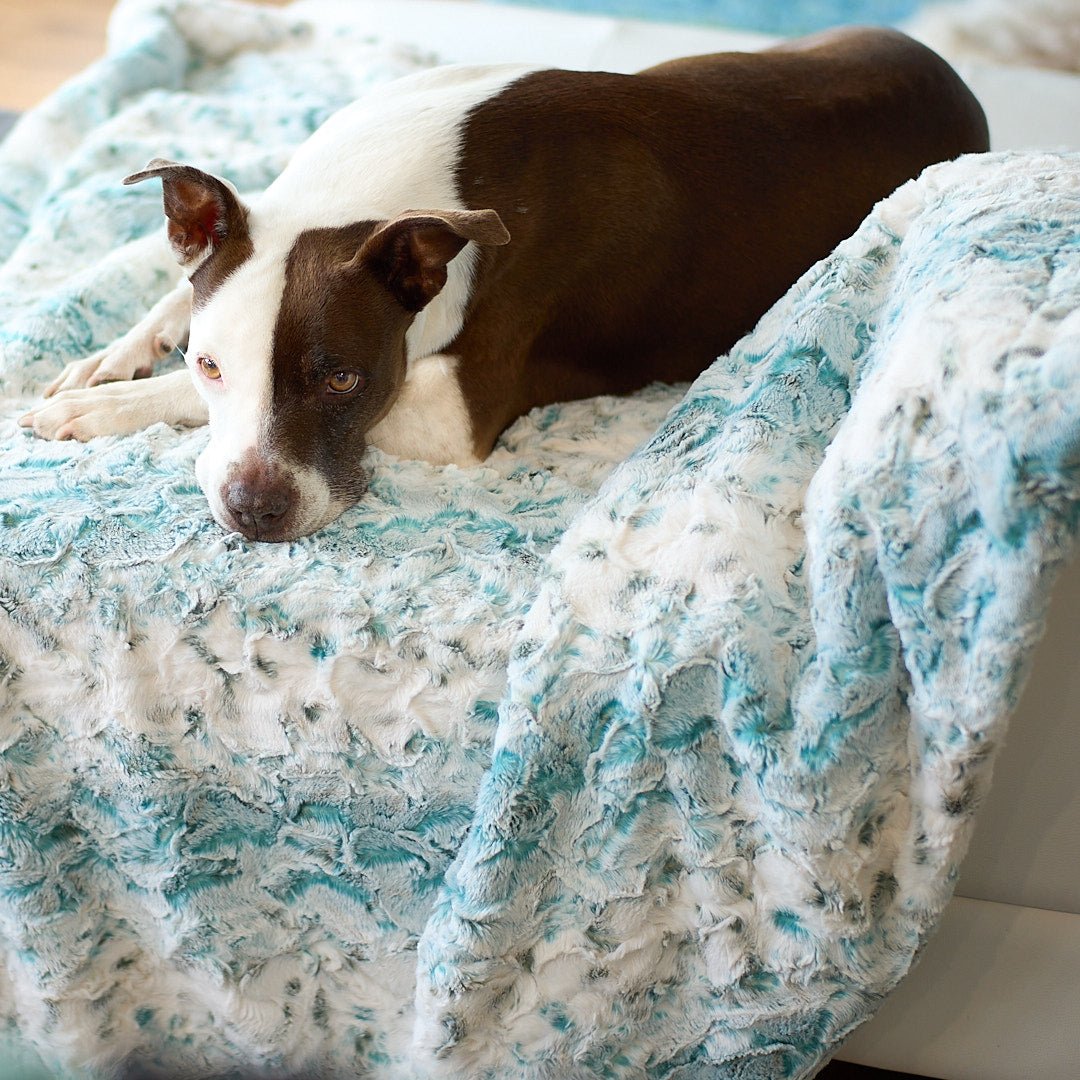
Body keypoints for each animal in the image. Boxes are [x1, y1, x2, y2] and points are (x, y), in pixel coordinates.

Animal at [21, 27, 989, 540]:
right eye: (212, 366)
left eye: (343, 380)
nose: (254, 510)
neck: (357, 201)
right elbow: (183, 286)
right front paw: (110, 361)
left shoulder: (458, 407)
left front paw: (96, 410)